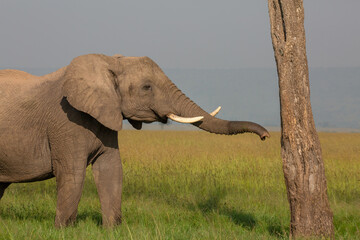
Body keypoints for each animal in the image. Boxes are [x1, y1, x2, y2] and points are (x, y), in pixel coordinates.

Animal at [0, 54, 268, 227]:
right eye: (147, 87)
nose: (265, 136)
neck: (110, 61)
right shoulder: (66, 121)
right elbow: (72, 174)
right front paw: (63, 230)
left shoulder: (106, 117)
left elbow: (111, 170)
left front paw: (113, 229)